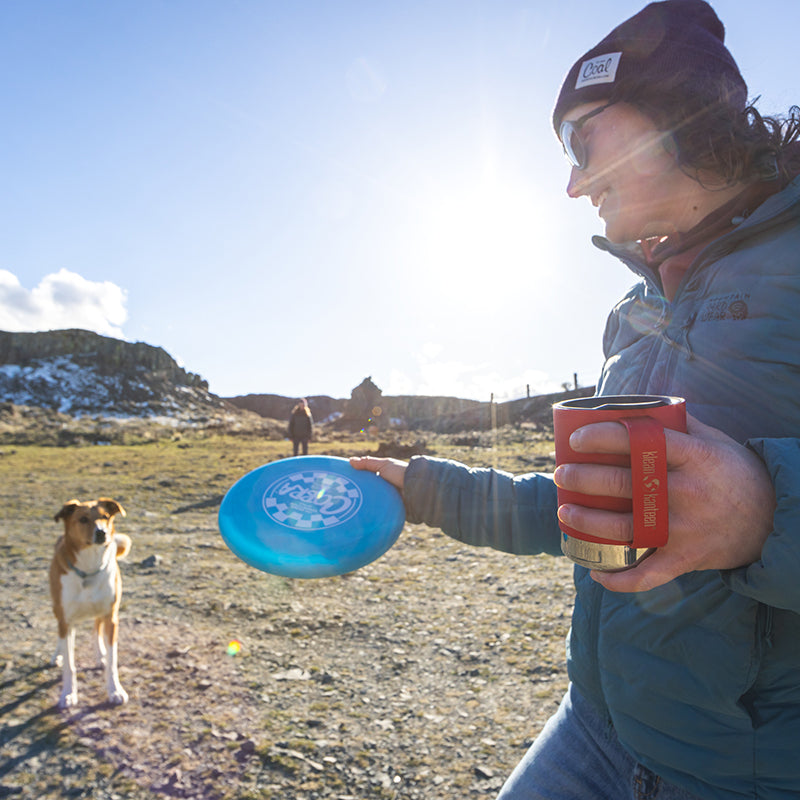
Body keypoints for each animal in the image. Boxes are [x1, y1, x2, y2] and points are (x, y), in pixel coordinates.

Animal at [49, 496, 130, 708]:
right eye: (83, 519)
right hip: (59, 612)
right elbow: (69, 665)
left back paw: (100, 654)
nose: (101, 533)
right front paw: (68, 693)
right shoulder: (66, 620)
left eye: (105, 517)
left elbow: (112, 660)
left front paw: (115, 690)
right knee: (62, 638)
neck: (89, 568)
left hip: (100, 611)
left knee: (96, 629)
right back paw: (57, 654)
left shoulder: (111, 616)